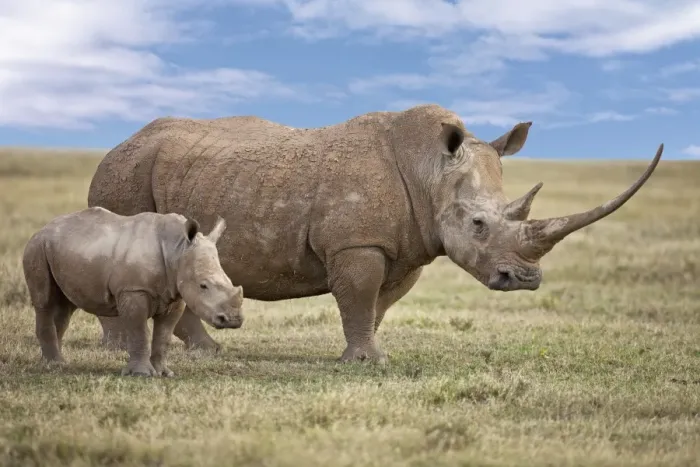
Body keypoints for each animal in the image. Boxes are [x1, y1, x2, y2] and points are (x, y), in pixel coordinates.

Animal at [22, 207, 244, 376]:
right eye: (203, 286)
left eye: (230, 281)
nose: (233, 320)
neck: (177, 250)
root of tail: (43, 229)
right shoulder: (133, 290)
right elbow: (139, 331)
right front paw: (141, 374)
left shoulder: (175, 295)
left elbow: (163, 335)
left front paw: (164, 373)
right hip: (36, 247)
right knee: (44, 301)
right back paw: (54, 365)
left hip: (63, 250)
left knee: (64, 307)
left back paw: (57, 363)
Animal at [86, 103, 663, 363]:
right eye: (478, 224)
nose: (523, 280)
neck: (432, 169)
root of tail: (115, 145)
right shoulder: (356, 242)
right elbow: (359, 297)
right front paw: (365, 363)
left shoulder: (407, 248)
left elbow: (378, 305)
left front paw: (369, 356)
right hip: (123, 175)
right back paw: (119, 351)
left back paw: (207, 352)